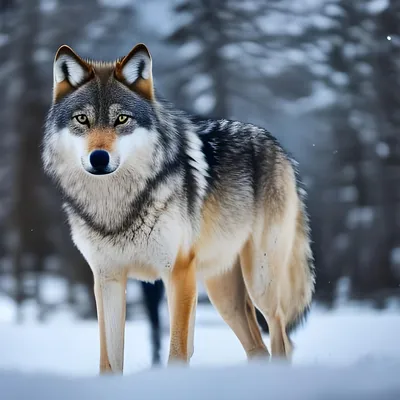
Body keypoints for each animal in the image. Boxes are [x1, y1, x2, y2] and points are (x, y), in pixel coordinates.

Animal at [40, 43, 316, 376]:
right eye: (82, 119)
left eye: (121, 119)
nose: (99, 158)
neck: (117, 207)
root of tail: (280, 148)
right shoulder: (107, 279)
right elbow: (109, 362)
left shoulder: (178, 272)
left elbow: (177, 351)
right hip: (222, 292)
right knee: (259, 349)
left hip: (260, 281)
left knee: (281, 339)